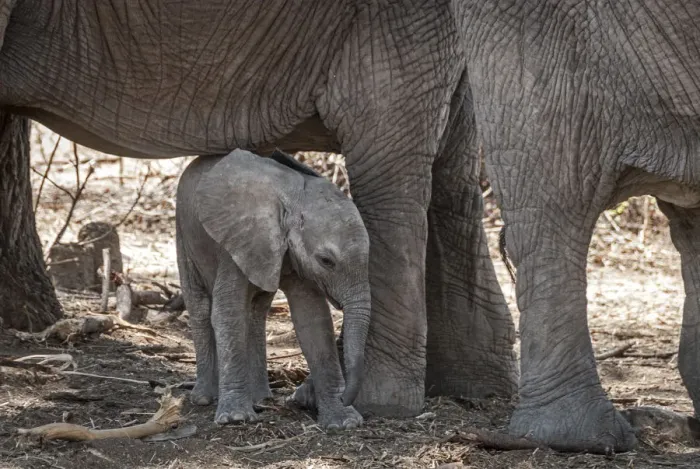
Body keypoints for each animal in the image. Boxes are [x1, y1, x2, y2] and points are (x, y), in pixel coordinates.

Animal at [176, 149, 368, 430]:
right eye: (326, 261)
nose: (346, 397)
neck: (294, 199)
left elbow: (313, 319)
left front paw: (344, 422)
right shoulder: (238, 241)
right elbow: (227, 312)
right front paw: (236, 418)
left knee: (256, 311)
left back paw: (260, 398)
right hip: (183, 232)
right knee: (200, 307)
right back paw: (204, 398)